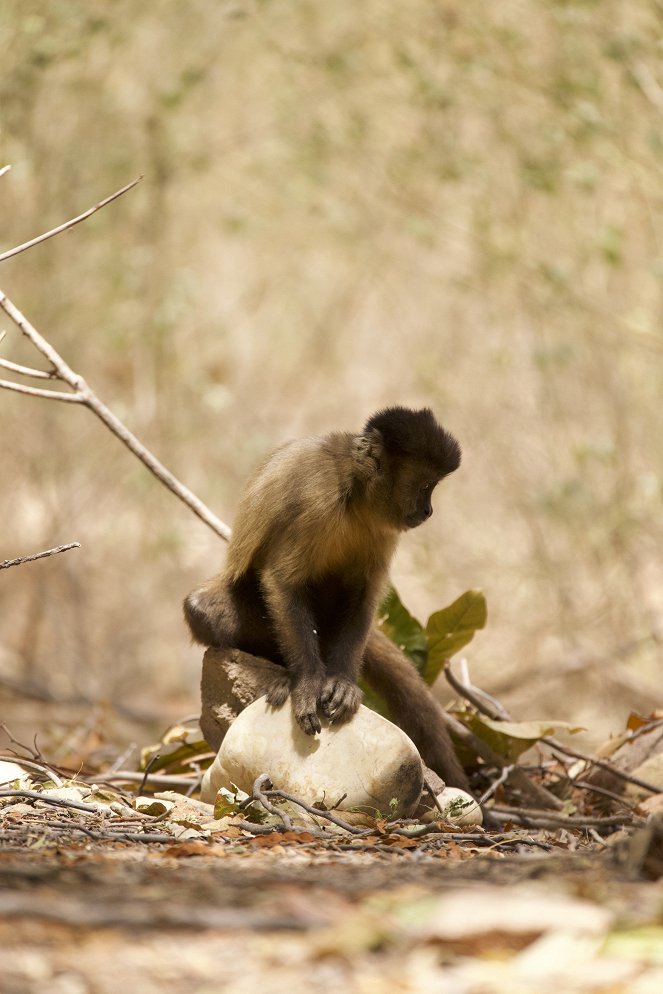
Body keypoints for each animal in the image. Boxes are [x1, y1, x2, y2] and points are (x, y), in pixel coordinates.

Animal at [184, 406, 470, 788]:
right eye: (426, 486)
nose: (428, 511)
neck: (353, 491)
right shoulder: (316, 499)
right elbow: (282, 582)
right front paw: (306, 684)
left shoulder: (382, 528)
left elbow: (363, 598)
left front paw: (343, 684)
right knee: (202, 609)